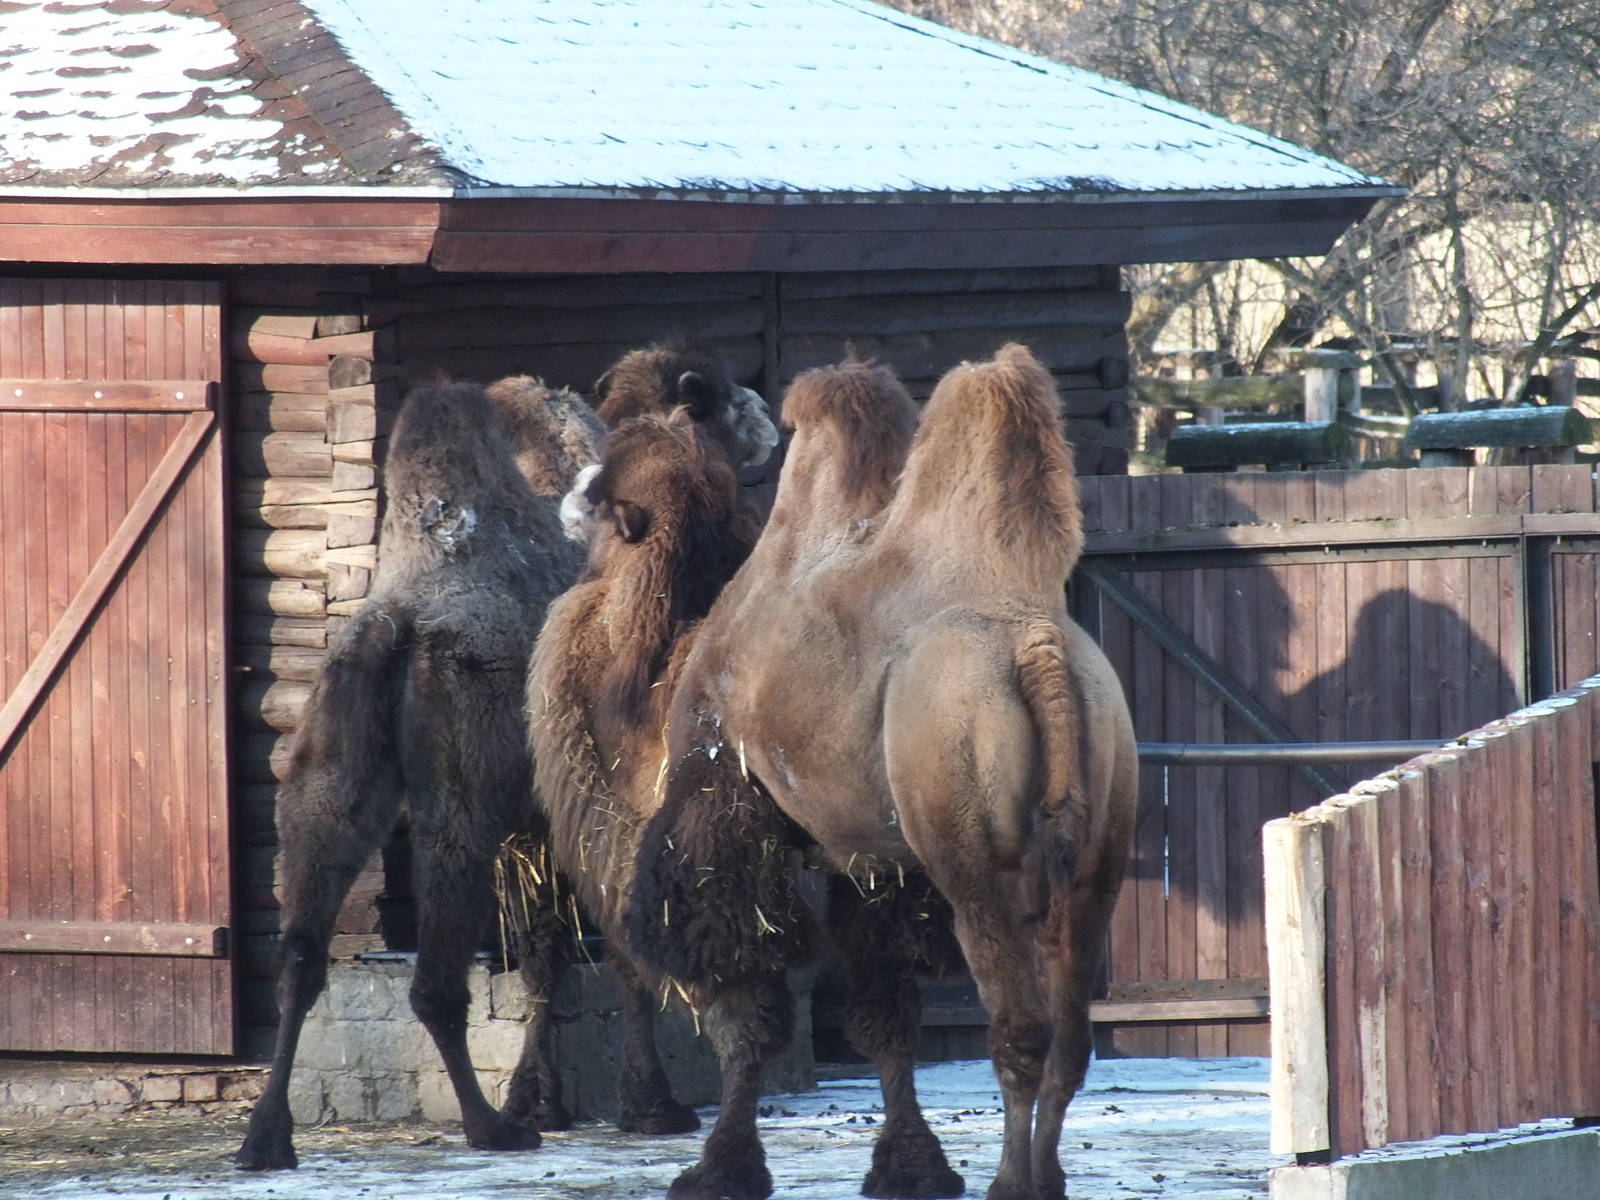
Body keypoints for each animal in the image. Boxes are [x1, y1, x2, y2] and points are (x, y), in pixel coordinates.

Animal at [237, 347, 776, 1172]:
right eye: (715, 394)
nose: (767, 419)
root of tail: (394, 627)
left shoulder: (535, 826)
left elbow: (543, 952)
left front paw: (543, 1097)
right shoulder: (575, 802)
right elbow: (609, 954)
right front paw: (647, 1107)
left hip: (327, 770)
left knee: (301, 951)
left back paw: (267, 1137)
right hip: (459, 802)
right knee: (433, 981)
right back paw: (488, 1126)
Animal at [628, 346, 1139, 1200]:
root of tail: (1038, 648)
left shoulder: (727, 800)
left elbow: (745, 1000)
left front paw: (719, 1169)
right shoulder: (879, 861)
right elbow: (884, 1010)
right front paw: (909, 1167)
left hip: (974, 860)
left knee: (1020, 1029)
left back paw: (1012, 1182)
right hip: (1102, 839)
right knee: (1071, 1035)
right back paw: (1047, 1176)